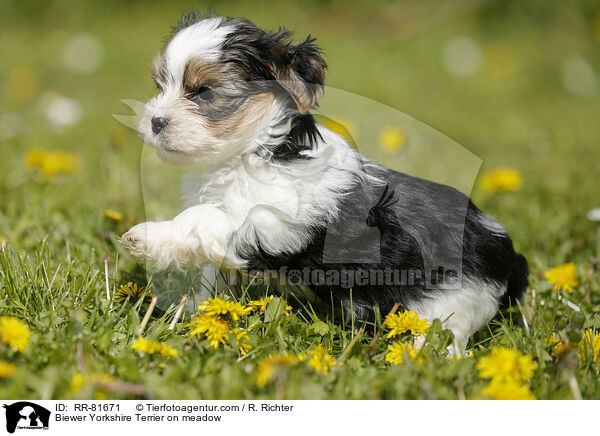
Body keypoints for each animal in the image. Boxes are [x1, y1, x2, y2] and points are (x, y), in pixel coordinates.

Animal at [120, 13, 524, 354]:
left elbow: (204, 219)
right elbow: (212, 275)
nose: (155, 121)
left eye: (203, 92)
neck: (255, 152)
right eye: (160, 85)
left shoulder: (273, 224)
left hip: (450, 303)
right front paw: (198, 313)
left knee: (443, 339)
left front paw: (148, 236)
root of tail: (504, 246)